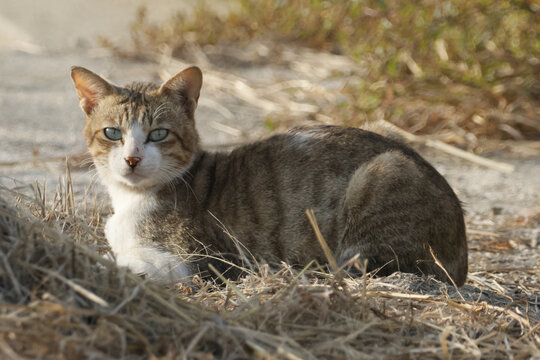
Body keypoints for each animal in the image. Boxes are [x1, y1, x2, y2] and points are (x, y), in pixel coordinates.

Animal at [70, 66, 468, 286]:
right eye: (112, 133)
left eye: (158, 134)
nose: (132, 159)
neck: (132, 202)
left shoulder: (210, 261)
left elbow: (136, 264)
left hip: (383, 173)